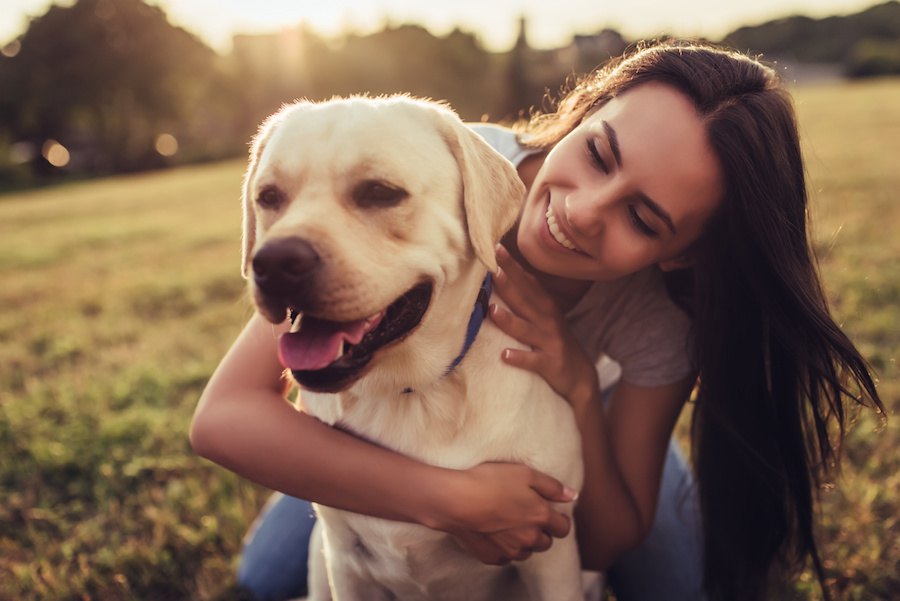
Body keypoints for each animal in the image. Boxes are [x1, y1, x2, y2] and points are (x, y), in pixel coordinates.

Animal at [239, 96, 584, 596]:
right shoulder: (343, 561)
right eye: (268, 197)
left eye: (380, 193)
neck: (410, 394)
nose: (275, 262)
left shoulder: (553, 553)